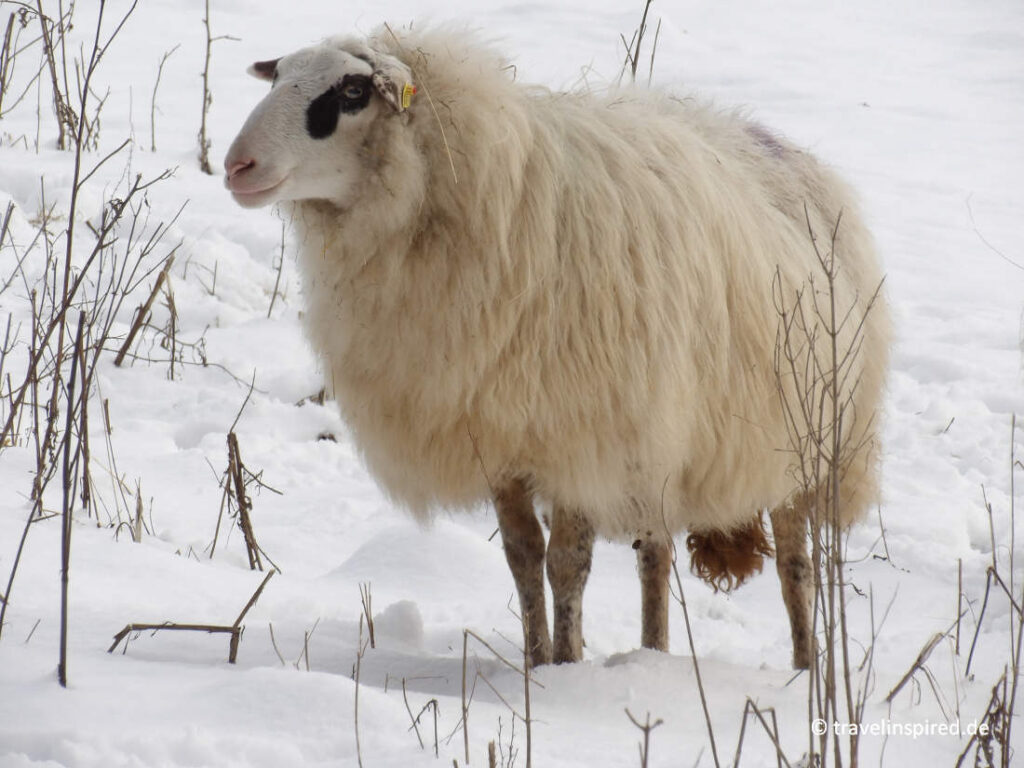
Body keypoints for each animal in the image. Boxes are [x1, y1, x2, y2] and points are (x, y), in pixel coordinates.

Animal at [224, 27, 888, 671]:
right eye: (278, 78)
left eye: (352, 92)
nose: (236, 165)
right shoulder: (500, 437)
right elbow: (523, 558)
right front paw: (535, 661)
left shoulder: (581, 435)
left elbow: (567, 564)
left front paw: (563, 672)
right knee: (656, 557)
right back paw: (653, 653)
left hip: (804, 442)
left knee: (795, 567)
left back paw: (804, 671)